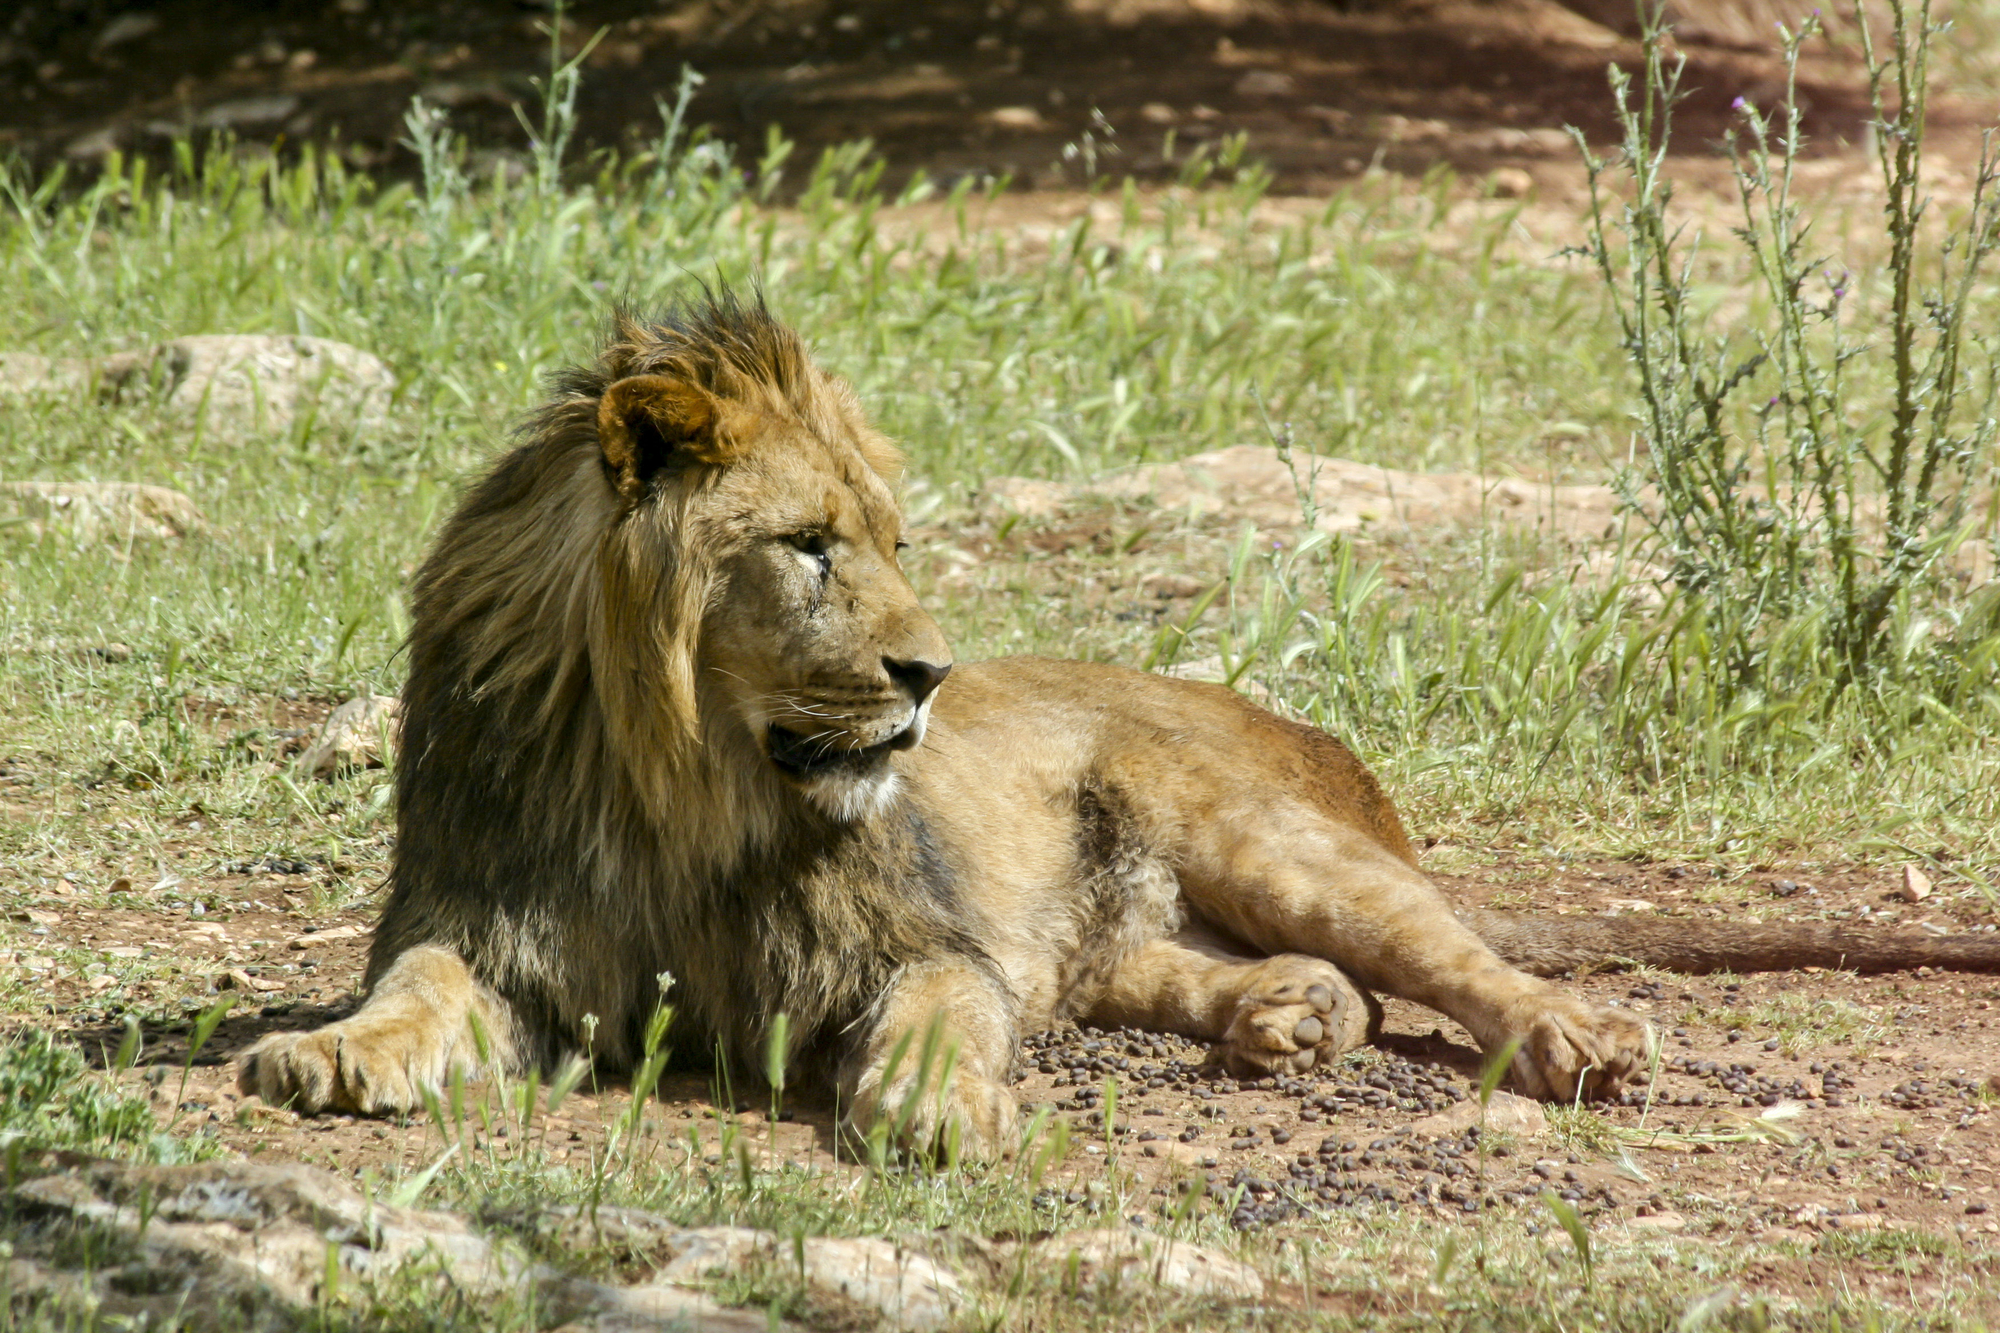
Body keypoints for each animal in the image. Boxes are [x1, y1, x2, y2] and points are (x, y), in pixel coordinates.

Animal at [238, 296, 2000, 1144]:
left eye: (890, 536)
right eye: (808, 547)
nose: (932, 674)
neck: (685, 786)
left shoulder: (915, 946)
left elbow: (942, 1016)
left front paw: (937, 1106)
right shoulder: (504, 930)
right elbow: (413, 990)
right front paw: (322, 1057)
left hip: (1266, 835)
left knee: (1457, 958)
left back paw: (1575, 1037)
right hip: (1128, 933)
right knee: (1207, 974)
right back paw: (1290, 1016)